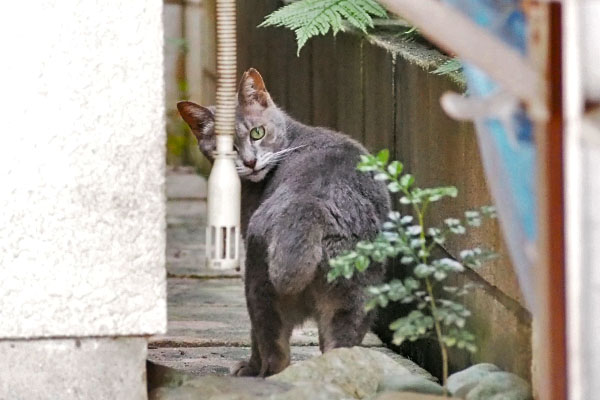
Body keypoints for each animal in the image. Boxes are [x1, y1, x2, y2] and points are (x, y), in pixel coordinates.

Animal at [177, 69, 394, 378]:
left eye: (257, 132)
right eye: (225, 148)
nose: (250, 162)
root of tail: (311, 205)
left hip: (258, 281)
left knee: (272, 351)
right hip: (355, 296)